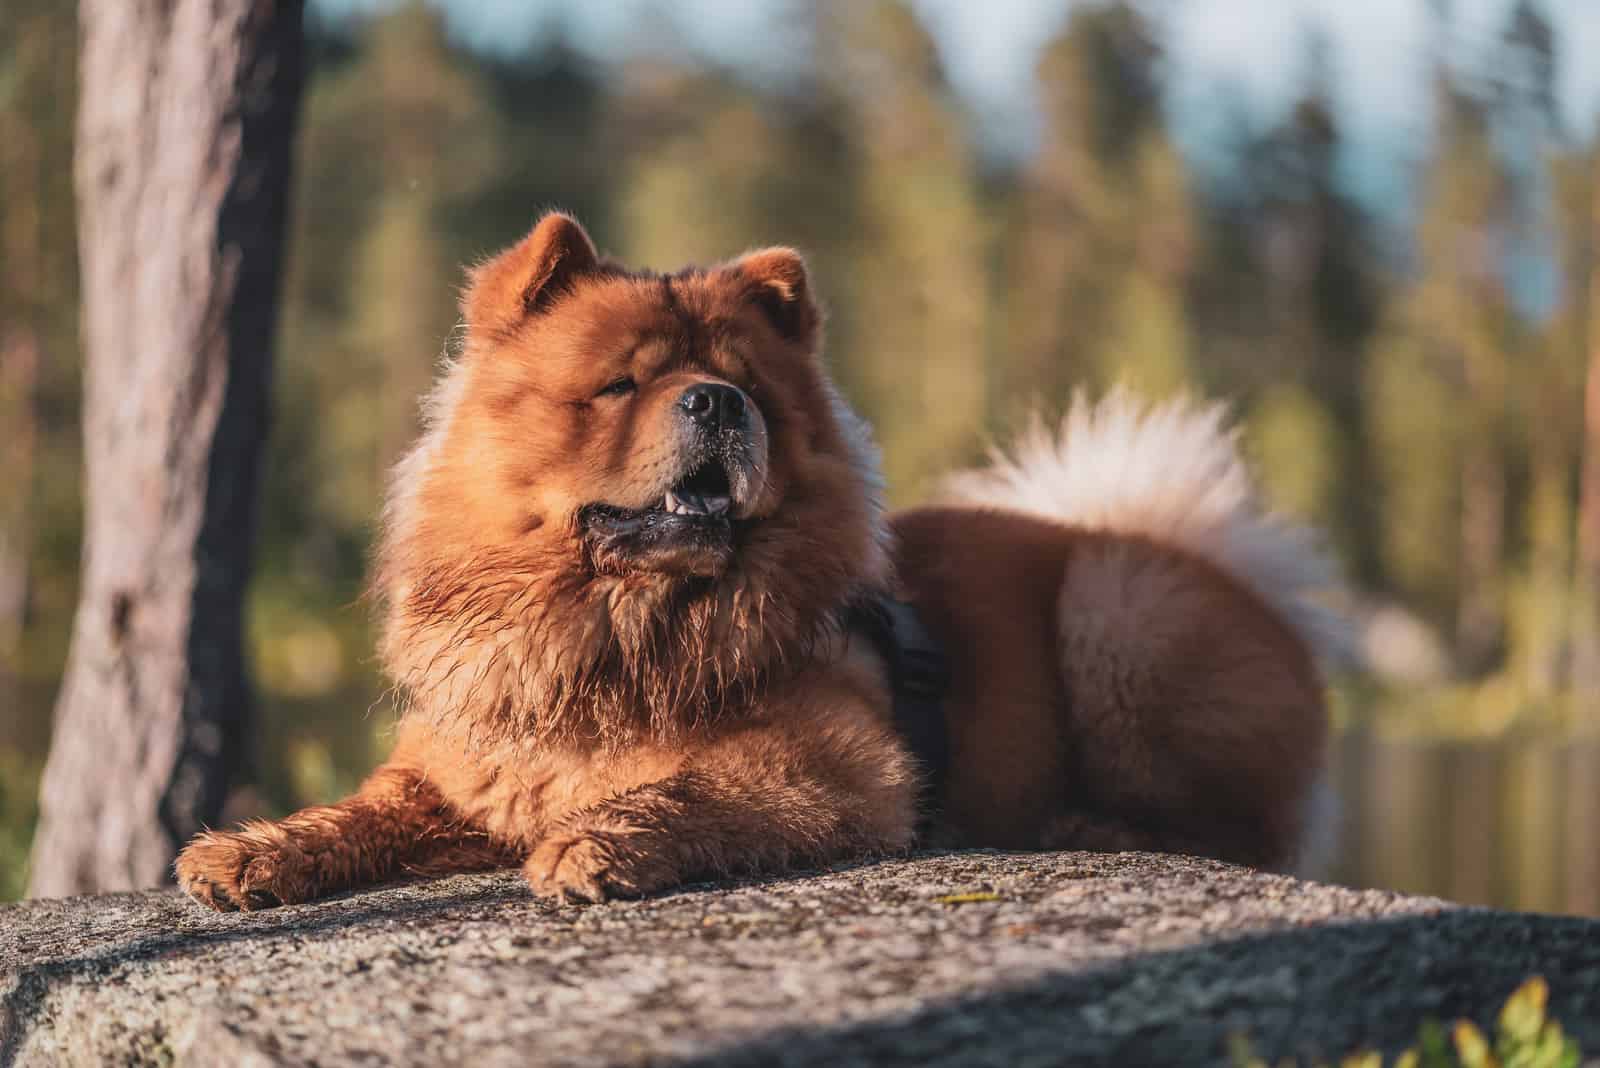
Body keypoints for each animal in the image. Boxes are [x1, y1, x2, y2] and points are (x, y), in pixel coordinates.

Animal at [175, 214, 1337, 908]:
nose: (717, 402)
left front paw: (592, 844)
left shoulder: (843, 764)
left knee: (1238, 825)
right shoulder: (455, 775)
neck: (616, 637)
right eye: (621, 383)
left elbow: (683, 790)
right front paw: (248, 849)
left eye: (750, 389)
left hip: (1117, 611)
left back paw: (1082, 822)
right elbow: (355, 812)